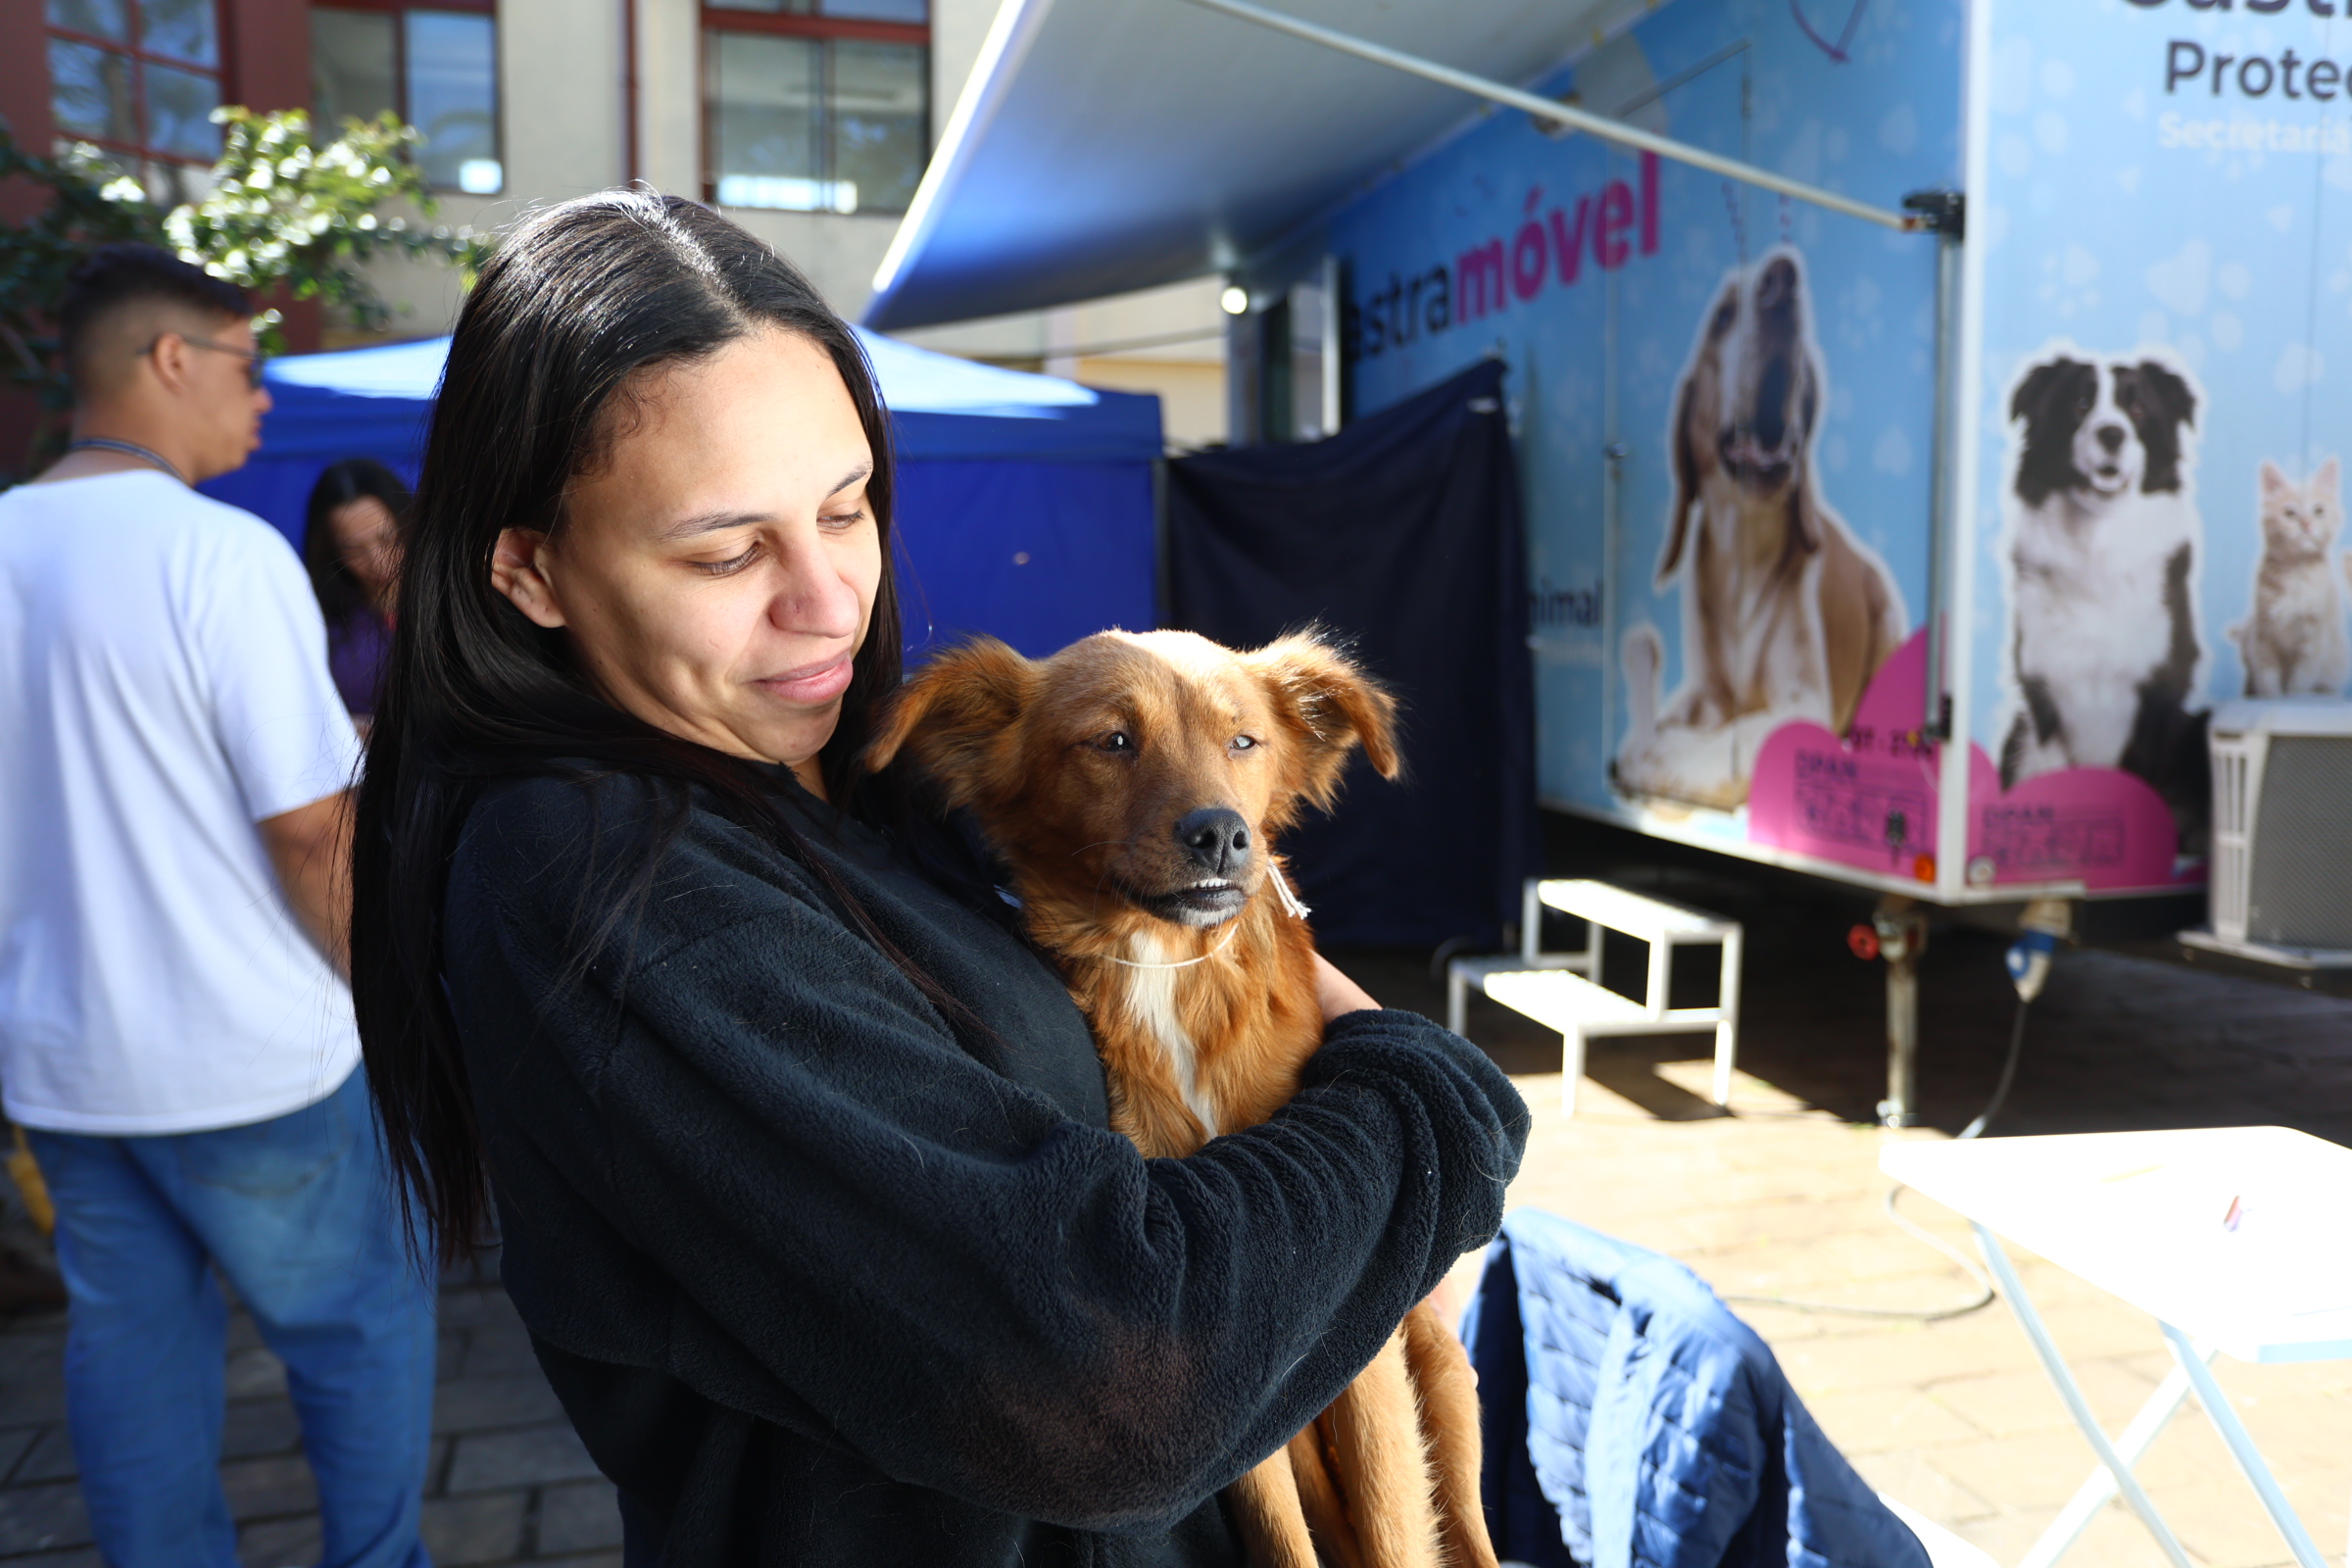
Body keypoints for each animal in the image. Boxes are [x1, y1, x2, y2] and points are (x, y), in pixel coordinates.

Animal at [866, 629, 1495, 1568]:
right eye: (1114, 741)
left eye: (1244, 741)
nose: (1223, 835)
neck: (1168, 963)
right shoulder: (1229, 1363)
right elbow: (1280, 1534)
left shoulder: (1367, 1340)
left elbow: (1392, 1525)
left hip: (1441, 1373)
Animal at [1615, 247, 1909, 810]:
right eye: (1723, 317)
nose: (1783, 277)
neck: (1742, 557)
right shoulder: (1703, 690)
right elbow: (1681, 712)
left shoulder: (1803, 699)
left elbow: (1739, 734)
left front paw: (1669, 758)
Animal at [2001, 349, 2209, 851]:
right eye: (2079, 405)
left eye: (2137, 409)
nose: (2112, 433)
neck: (2097, 544)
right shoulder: (2043, 694)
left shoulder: (2157, 696)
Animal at [2230, 458, 2349, 697]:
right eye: (2290, 513)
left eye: (2318, 510)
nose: (2306, 524)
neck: (2297, 575)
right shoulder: (2263, 634)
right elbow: (2268, 678)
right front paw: (2273, 698)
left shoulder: (2315, 636)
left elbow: (2301, 678)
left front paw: (2294, 697)